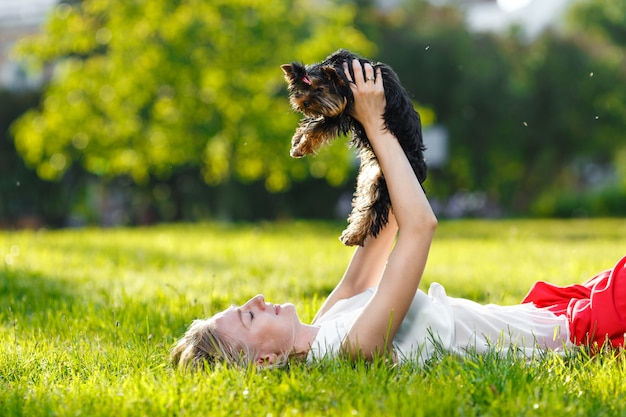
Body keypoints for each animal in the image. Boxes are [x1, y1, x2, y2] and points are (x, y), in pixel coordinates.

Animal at [282, 49, 424, 245]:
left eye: (320, 89)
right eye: (302, 88)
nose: (304, 102)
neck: (341, 69)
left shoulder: (342, 106)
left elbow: (320, 125)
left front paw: (300, 146)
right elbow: (314, 123)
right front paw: (297, 141)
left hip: (385, 181)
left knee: (374, 208)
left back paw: (354, 235)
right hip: (371, 177)